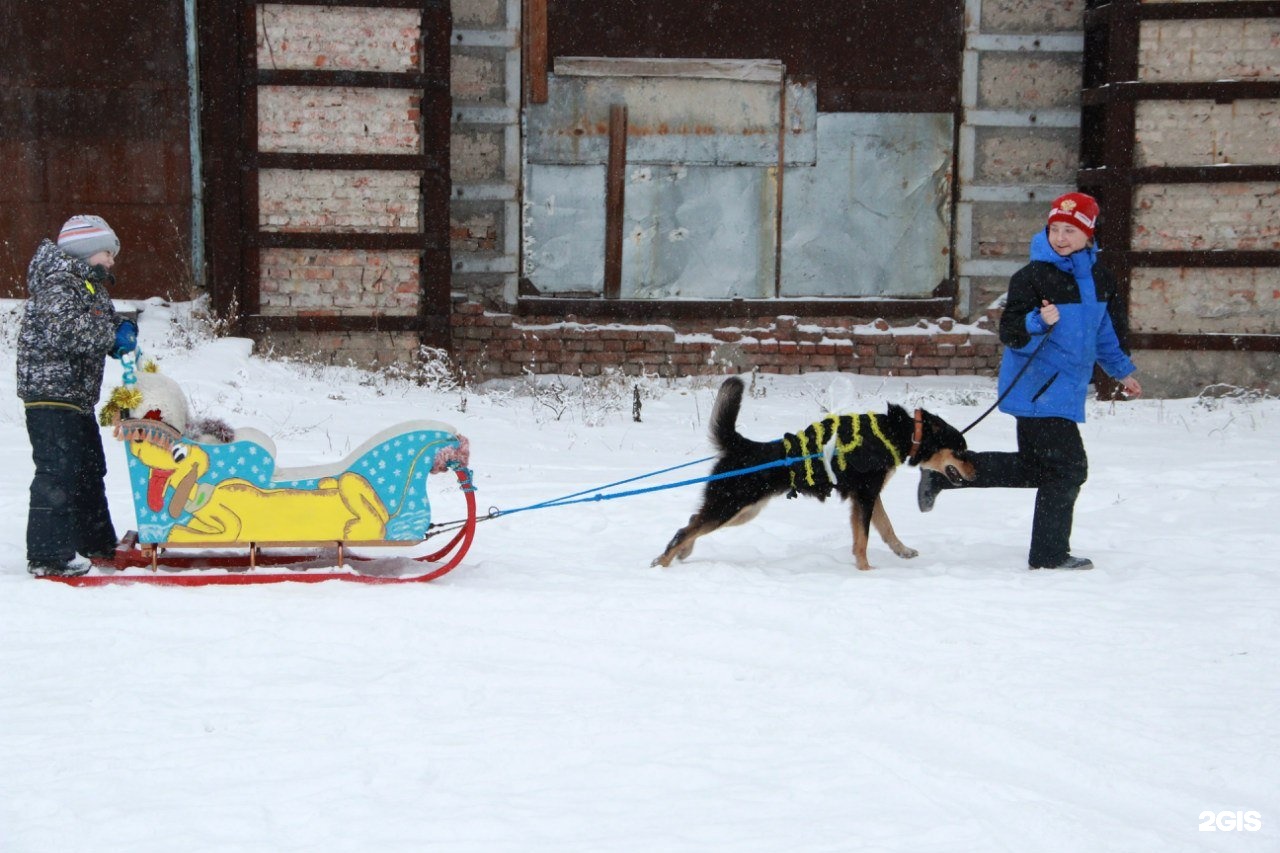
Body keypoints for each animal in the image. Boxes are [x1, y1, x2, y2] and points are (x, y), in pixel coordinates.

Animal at [655, 376, 972, 568]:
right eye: (960, 450)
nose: (974, 471)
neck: (901, 431)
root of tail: (743, 445)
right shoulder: (865, 496)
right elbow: (863, 539)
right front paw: (866, 570)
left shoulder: (867, 496)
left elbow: (886, 528)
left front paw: (901, 551)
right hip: (730, 506)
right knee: (685, 530)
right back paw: (662, 563)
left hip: (742, 512)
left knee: (691, 522)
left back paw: (682, 553)